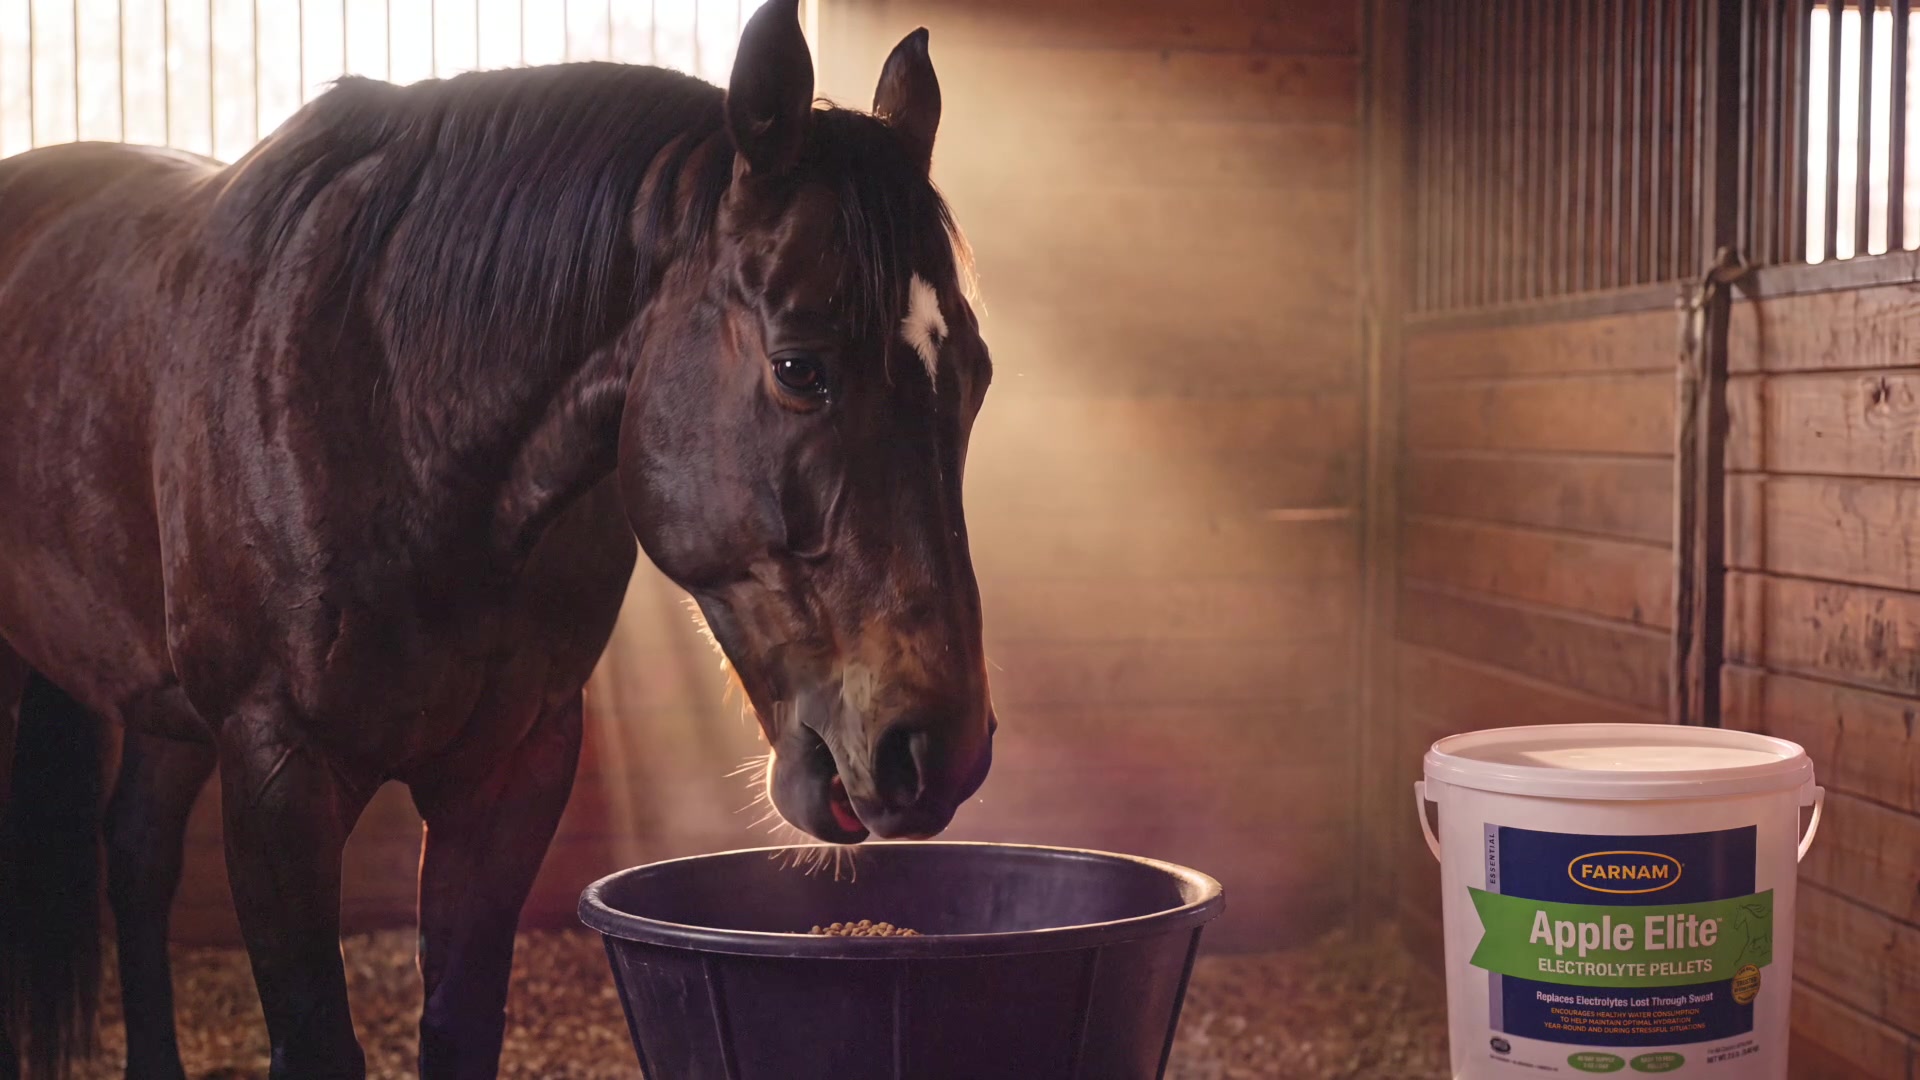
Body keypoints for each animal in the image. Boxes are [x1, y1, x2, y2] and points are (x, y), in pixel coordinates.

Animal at [0, 0, 996, 1075]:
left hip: (166, 705)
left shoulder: (510, 770)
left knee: (137, 854)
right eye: (799, 366)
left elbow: (461, 1025)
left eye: (976, 377)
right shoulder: (278, 775)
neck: (394, 412)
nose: (938, 750)